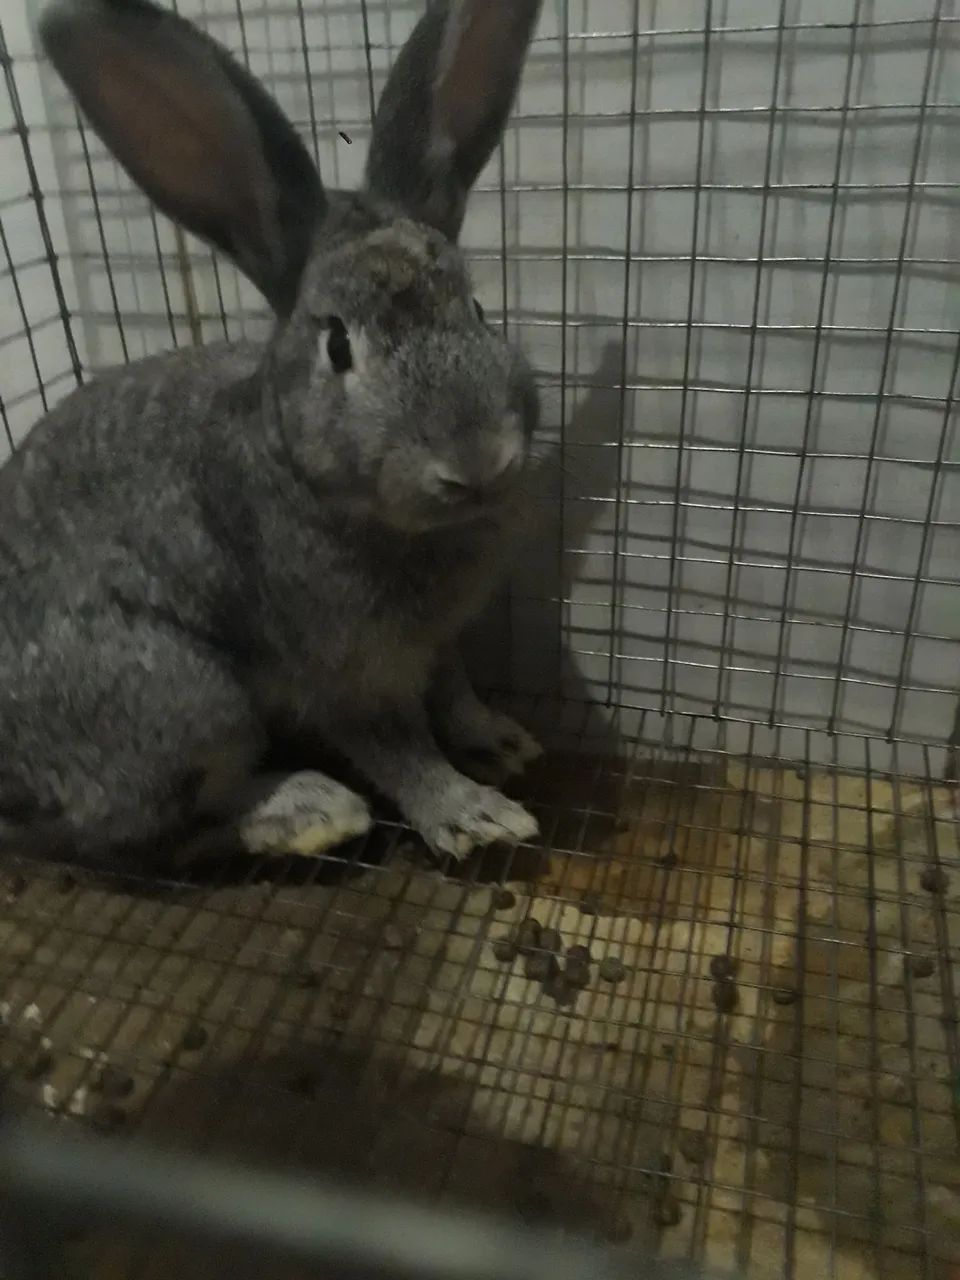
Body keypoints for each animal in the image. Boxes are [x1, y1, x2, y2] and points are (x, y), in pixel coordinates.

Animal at [0, 0, 546, 872]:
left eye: (479, 310)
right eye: (338, 346)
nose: (476, 462)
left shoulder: (436, 646)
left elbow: (453, 692)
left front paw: (500, 739)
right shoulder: (343, 675)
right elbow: (401, 751)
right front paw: (477, 816)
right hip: (191, 701)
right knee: (140, 836)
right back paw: (309, 809)